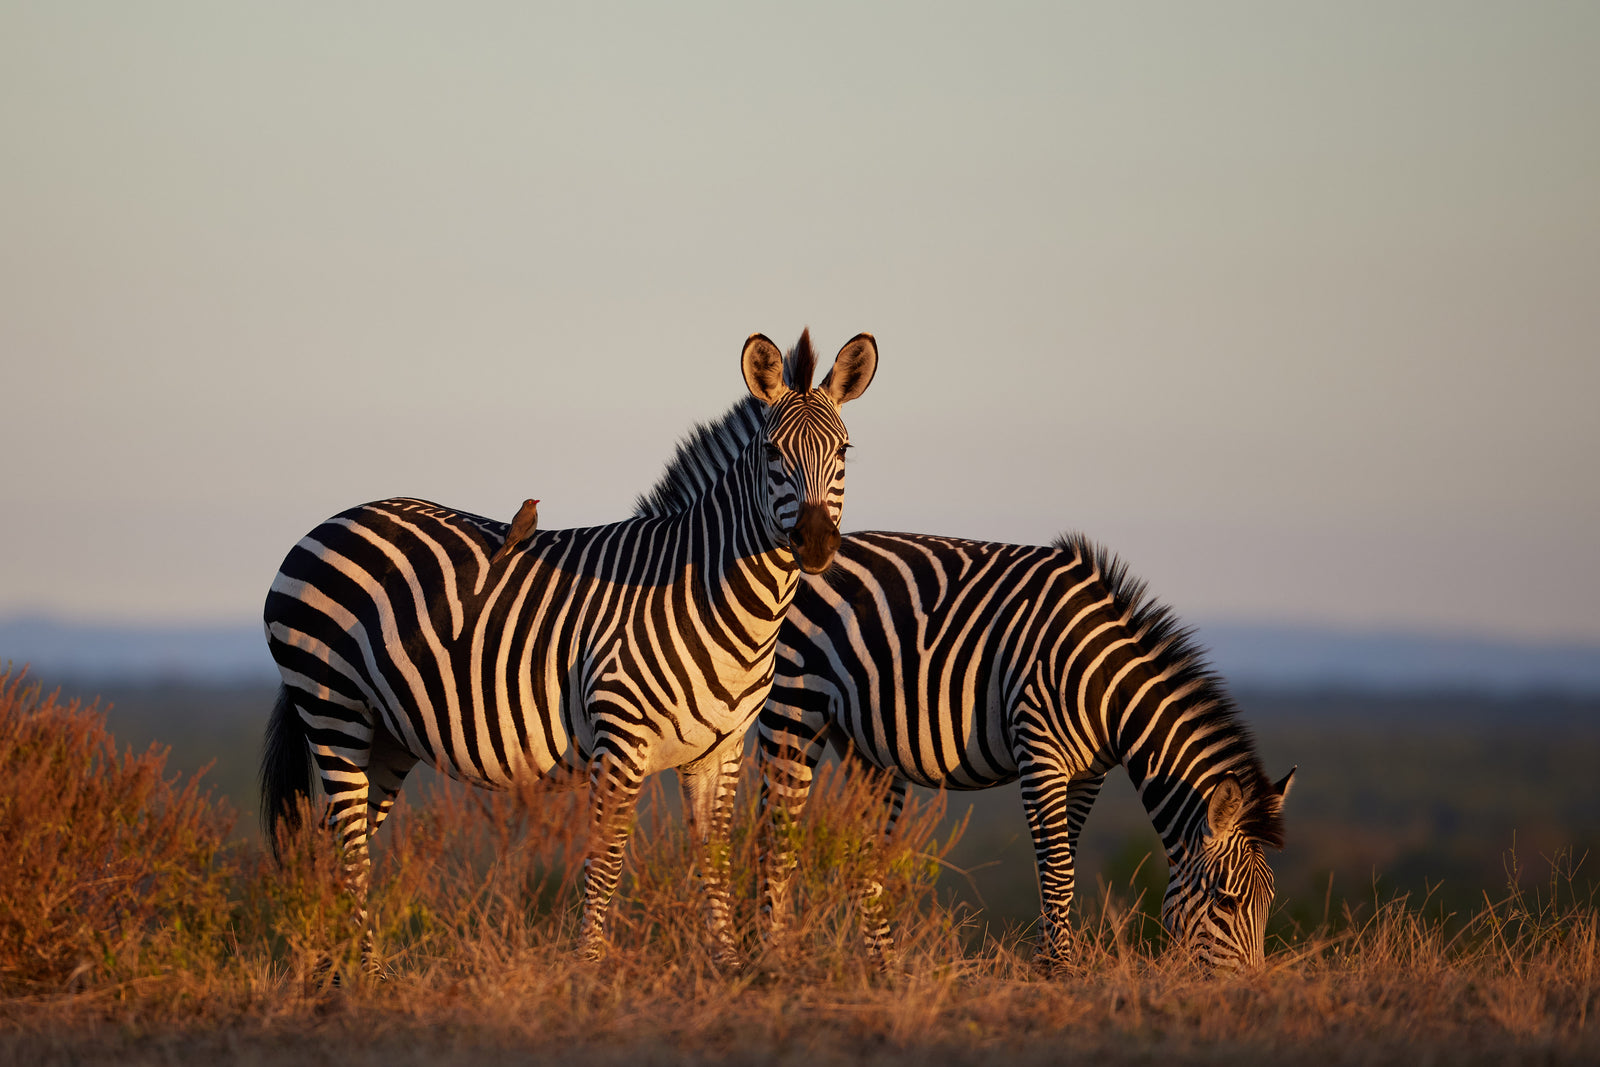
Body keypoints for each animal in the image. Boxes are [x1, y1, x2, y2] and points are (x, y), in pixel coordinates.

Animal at [260, 329, 878, 970]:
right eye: (774, 453)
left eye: (844, 451)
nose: (815, 543)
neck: (711, 592)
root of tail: (329, 524)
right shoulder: (622, 736)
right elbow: (604, 864)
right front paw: (589, 971)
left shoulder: (720, 750)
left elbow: (715, 861)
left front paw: (730, 968)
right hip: (333, 708)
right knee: (348, 851)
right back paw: (366, 975)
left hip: (385, 735)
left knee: (332, 848)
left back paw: (330, 974)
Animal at [758, 530, 1295, 972]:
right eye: (1227, 901)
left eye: (1269, 902)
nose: (1249, 989)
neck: (1108, 690)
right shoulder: (1040, 753)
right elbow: (1055, 867)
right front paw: (1061, 971)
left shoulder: (1088, 772)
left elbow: (1065, 862)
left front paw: (1048, 964)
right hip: (792, 704)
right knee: (773, 831)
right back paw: (767, 957)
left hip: (864, 749)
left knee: (862, 856)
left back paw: (884, 970)